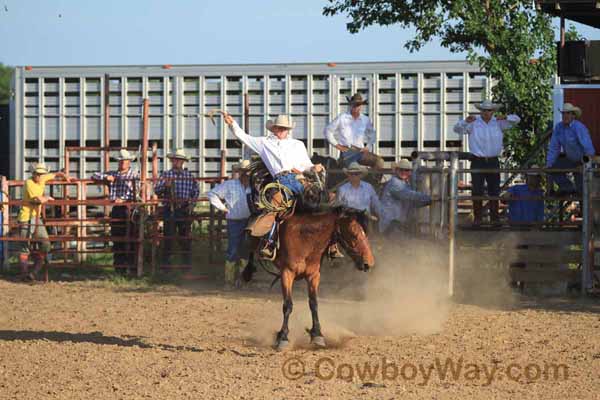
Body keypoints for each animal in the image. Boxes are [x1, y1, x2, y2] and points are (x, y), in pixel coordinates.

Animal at [241, 206, 372, 350]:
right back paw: (248, 272)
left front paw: (317, 335)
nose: (368, 263)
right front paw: (283, 337)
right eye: (354, 234)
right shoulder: (286, 273)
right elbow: (288, 305)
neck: (306, 241)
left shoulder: (314, 276)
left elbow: (313, 303)